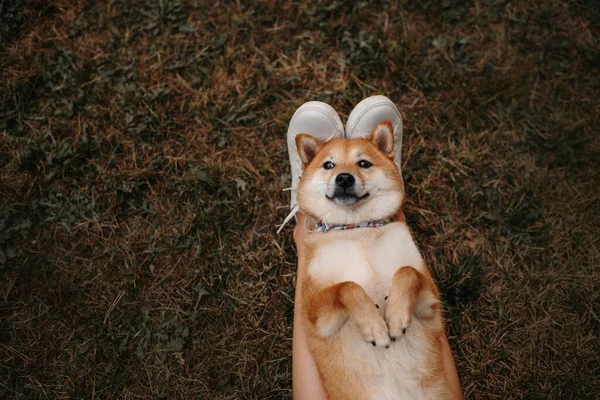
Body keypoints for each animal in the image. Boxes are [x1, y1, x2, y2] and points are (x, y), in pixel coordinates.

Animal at [296, 120, 450, 398]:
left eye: (364, 163)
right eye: (328, 165)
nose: (344, 178)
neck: (358, 229)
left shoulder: (429, 302)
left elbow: (407, 271)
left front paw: (397, 315)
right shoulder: (316, 315)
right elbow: (346, 287)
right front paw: (374, 326)